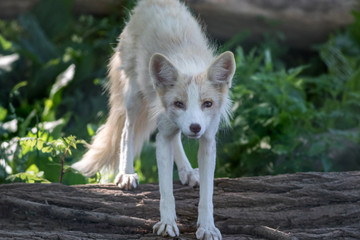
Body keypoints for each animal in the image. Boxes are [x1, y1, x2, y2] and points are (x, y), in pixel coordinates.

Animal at [73, 0, 236, 239]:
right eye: (179, 104)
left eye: (208, 104)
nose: (194, 127)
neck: (188, 63)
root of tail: (154, 3)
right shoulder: (163, 137)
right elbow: (166, 191)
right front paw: (167, 224)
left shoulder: (207, 140)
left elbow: (207, 196)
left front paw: (207, 227)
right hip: (133, 98)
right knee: (126, 131)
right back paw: (127, 173)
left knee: (176, 138)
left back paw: (188, 172)